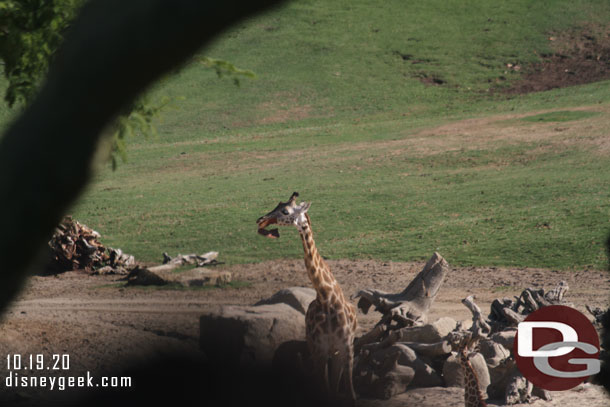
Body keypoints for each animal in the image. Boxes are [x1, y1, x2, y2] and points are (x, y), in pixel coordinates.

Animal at [255, 194, 356, 404]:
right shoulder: (319, 349)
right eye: (277, 205)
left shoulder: (347, 348)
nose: (260, 220)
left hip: (335, 352)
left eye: (285, 211)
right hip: (315, 347)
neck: (327, 298)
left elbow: (351, 394)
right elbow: (325, 391)